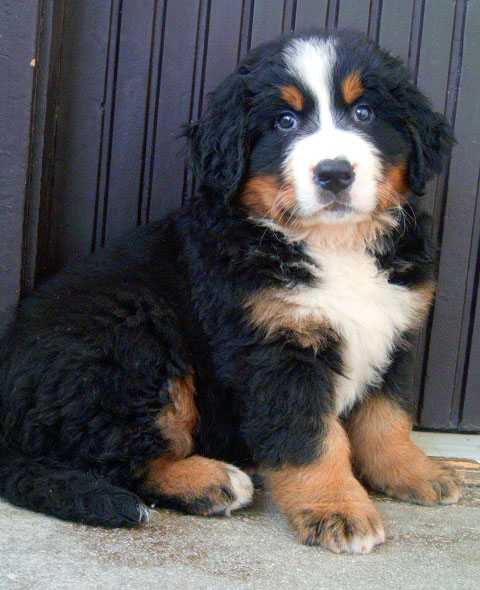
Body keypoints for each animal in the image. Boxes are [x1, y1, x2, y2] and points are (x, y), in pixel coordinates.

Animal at [0, 30, 460, 554]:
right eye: (284, 121)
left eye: (364, 113)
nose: (335, 173)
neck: (333, 243)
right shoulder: (273, 351)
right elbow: (311, 438)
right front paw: (337, 508)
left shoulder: (395, 328)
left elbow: (388, 417)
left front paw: (413, 471)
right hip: (133, 332)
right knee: (114, 457)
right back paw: (211, 482)